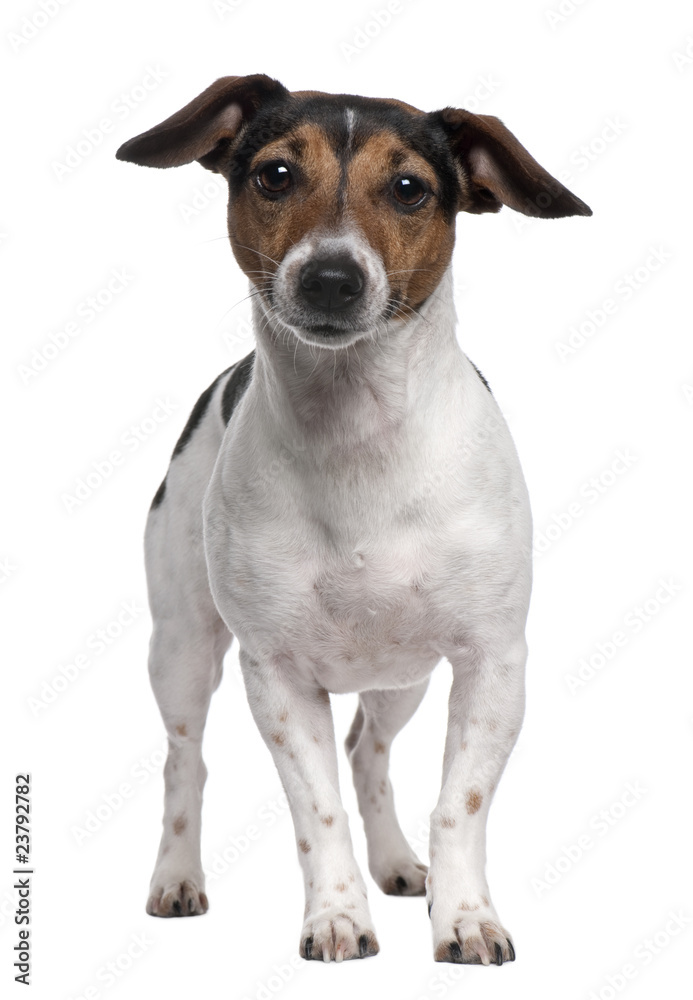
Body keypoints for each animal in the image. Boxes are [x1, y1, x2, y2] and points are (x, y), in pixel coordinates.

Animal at [117, 74, 588, 964]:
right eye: (273, 174)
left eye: (408, 188)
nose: (331, 277)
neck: (355, 435)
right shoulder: (274, 675)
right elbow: (317, 809)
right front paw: (336, 916)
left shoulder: (491, 664)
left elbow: (457, 804)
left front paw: (464, 917)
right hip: (182, 648)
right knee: (184, 763)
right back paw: (175, 876)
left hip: (402, 677)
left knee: (367, 750)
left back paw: (399, 863)